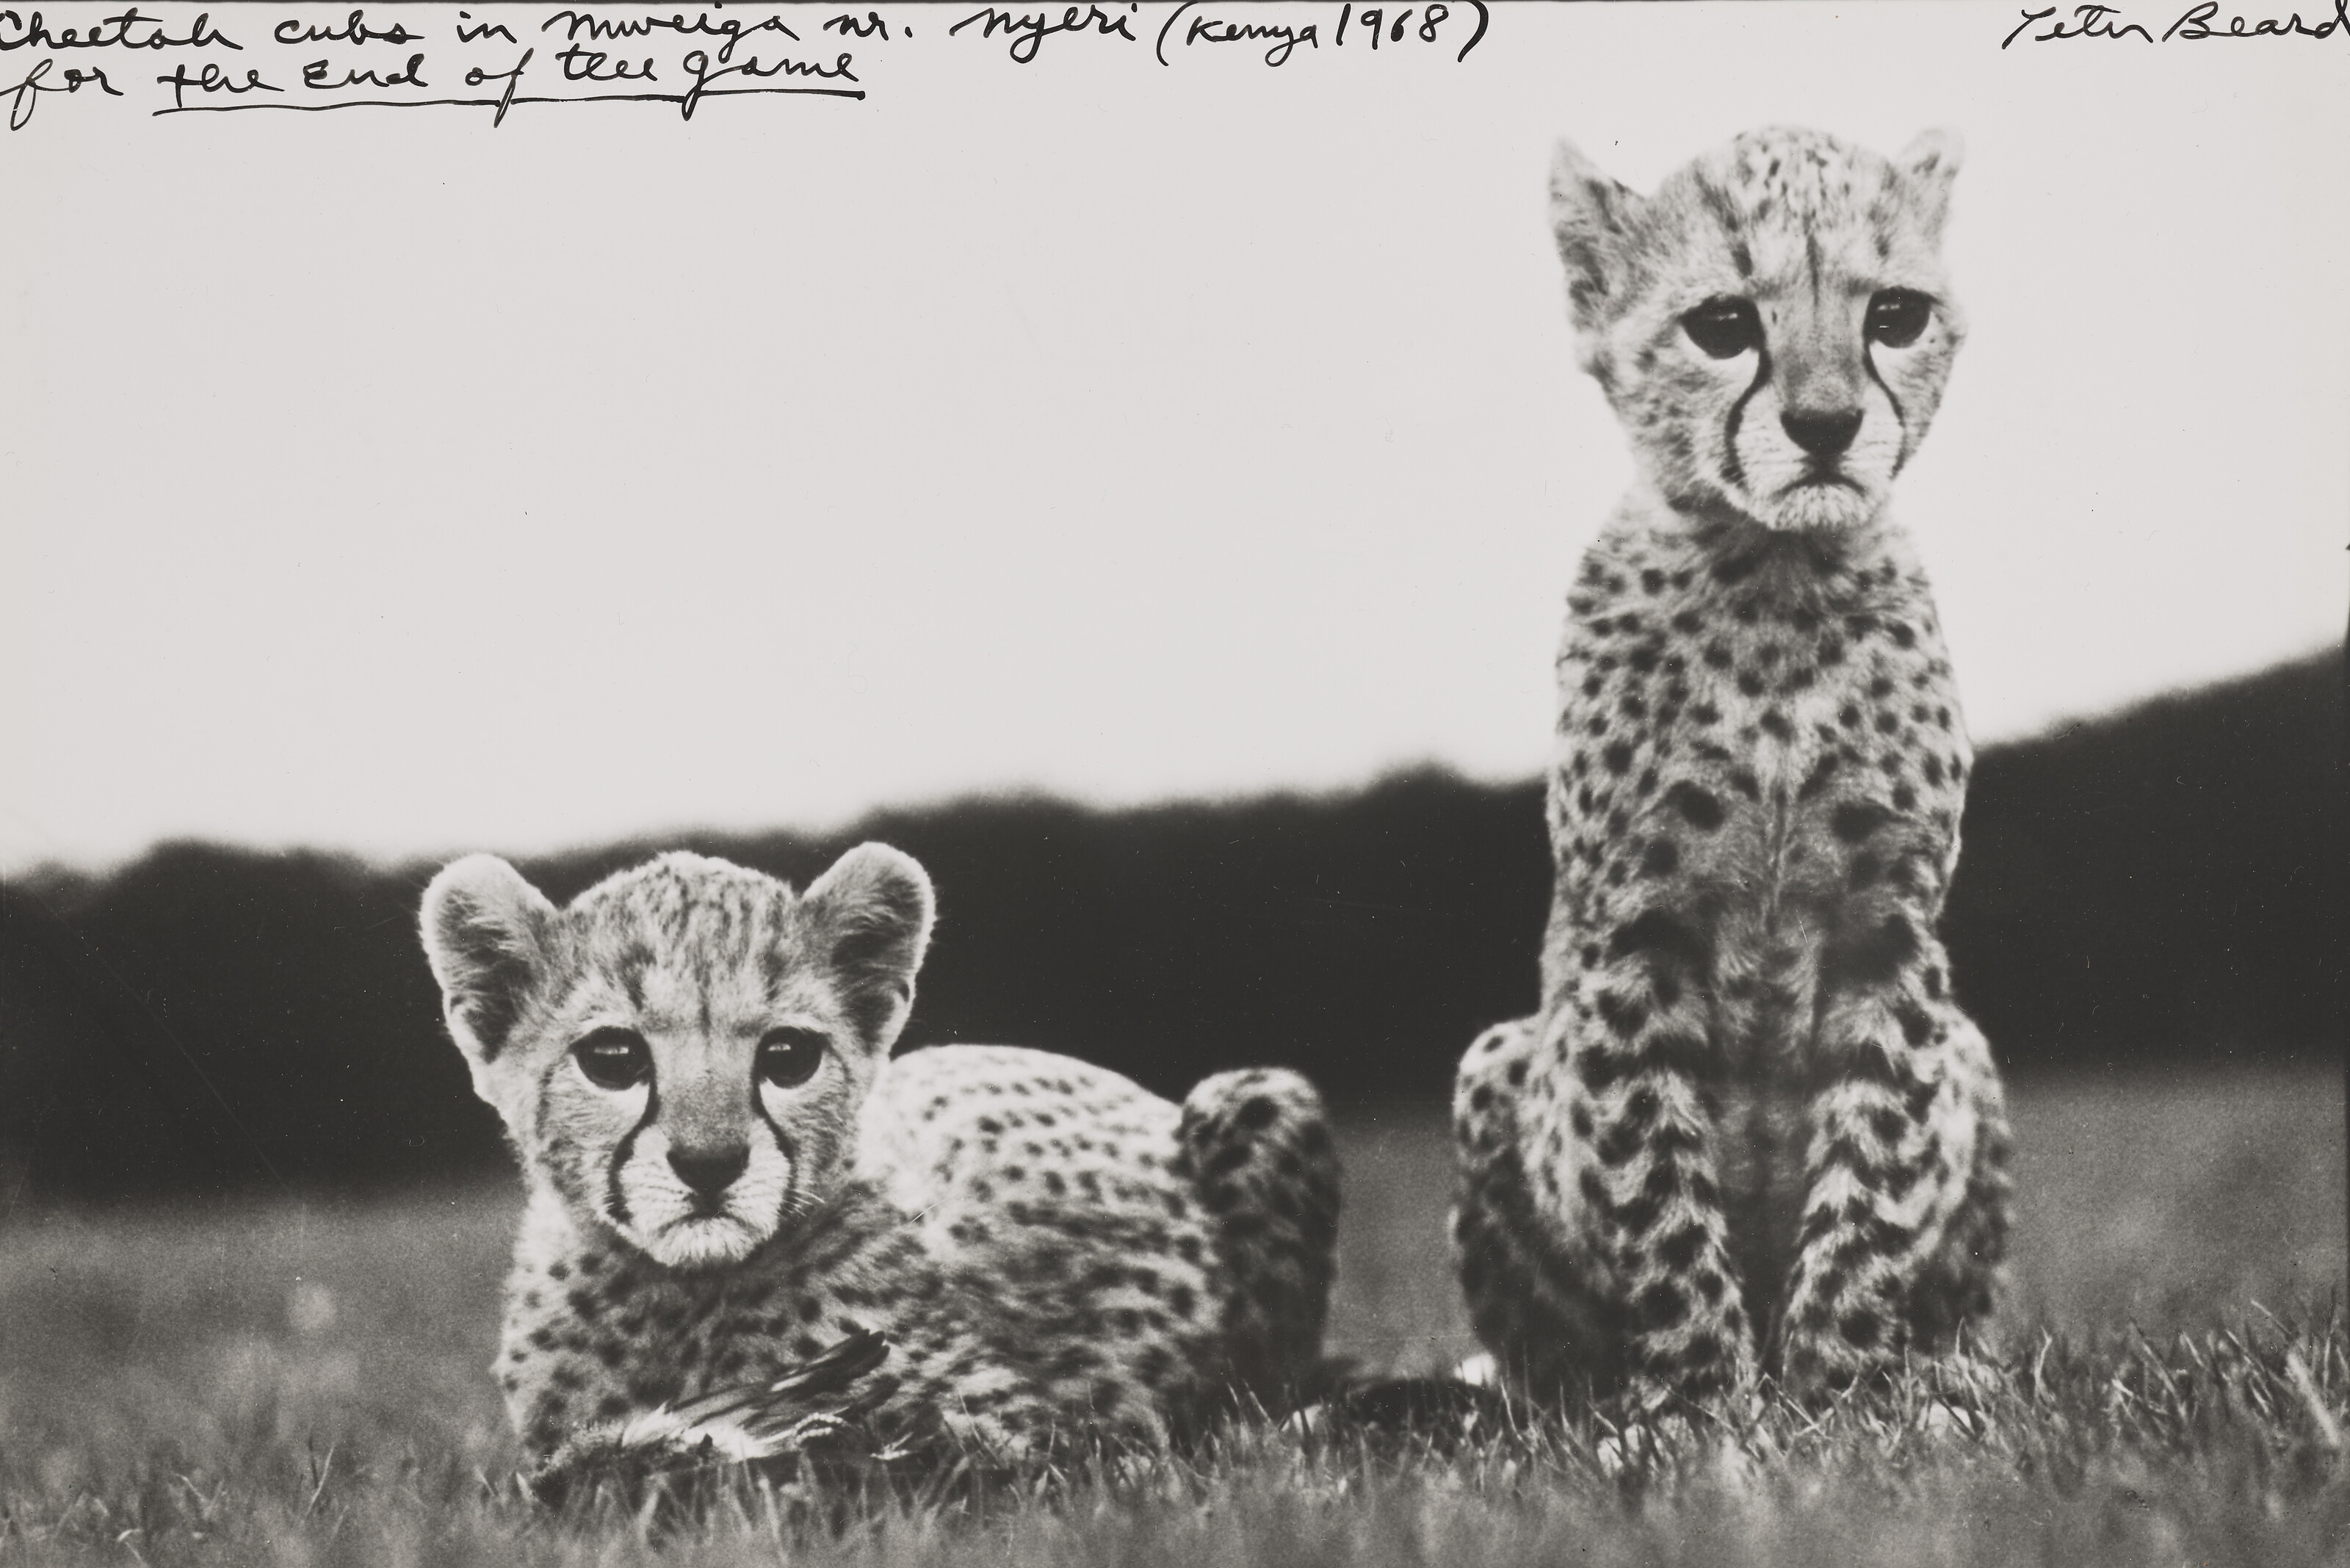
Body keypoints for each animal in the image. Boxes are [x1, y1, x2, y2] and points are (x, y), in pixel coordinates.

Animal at [419, 843, 1340, 1487]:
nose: (710, 1163)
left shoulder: (1052, 1434)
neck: (684, 1295)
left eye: (788, 1055)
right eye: (612, 1058)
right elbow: (573, 1470)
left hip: (1261, 1094)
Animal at [1450, 126, 2011, 1412]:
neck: (1775, 577)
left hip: (1973, 1049)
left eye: (1894, 314)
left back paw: (1951, 1373)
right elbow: (1656, 1182)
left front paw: (1845, 1396)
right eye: (1722, 325)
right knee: (1540, 1350)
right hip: (1499, 1056)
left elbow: (1872, 1170)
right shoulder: (1633, 933)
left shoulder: (1891, 928)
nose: (1825, 422)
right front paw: (1701, 1403)